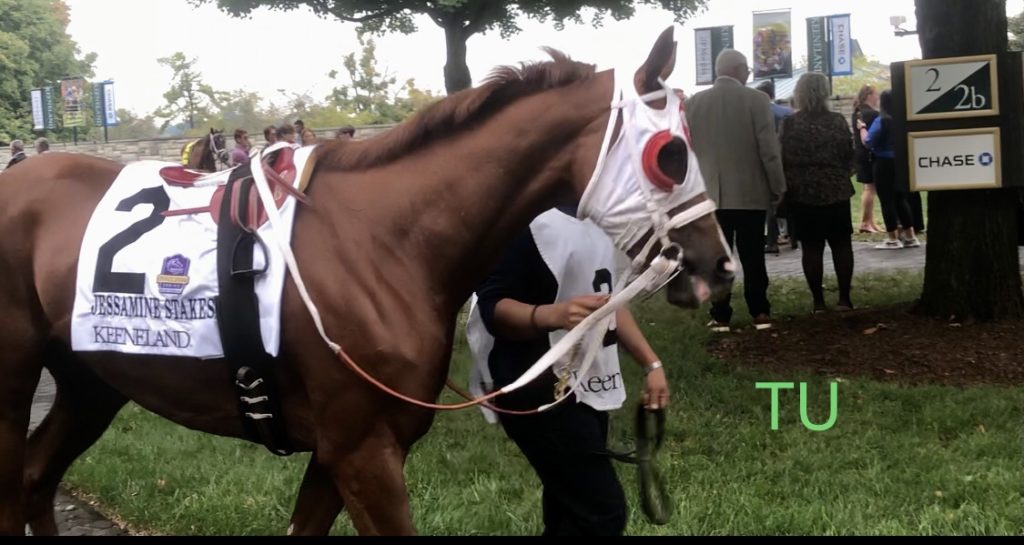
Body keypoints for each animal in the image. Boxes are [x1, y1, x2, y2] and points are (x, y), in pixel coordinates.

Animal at [0, 26, 737, 536]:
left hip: (91, 381)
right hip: (17, 380)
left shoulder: (341, 452)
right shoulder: (363, 453)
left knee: (35, 478)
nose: (718, 266)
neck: (388, 241)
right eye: (672, 153)